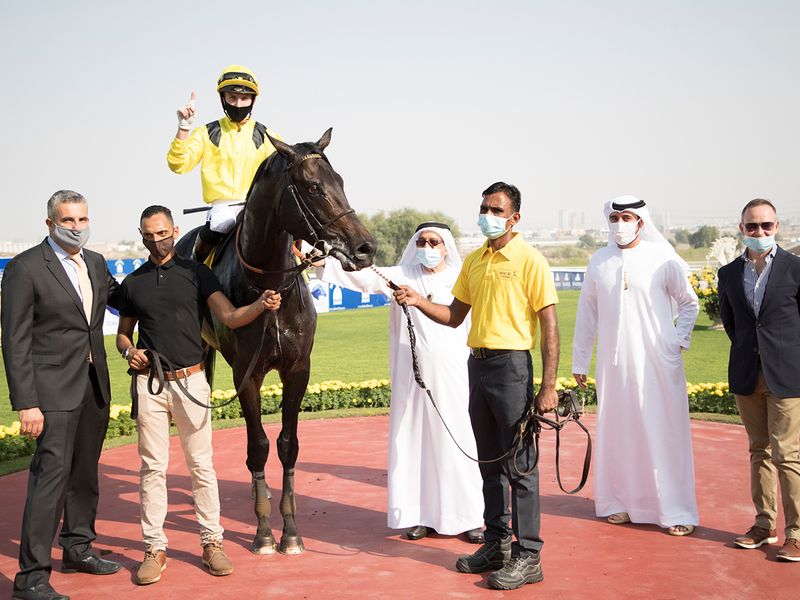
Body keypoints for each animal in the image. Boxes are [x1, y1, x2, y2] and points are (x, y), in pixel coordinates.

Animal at [175, 129, 376, 556]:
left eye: (340, 182)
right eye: (314, 186)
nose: (366, 247)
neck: (269, 285)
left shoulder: (298, 369)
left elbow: (287, 445)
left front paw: (291, 531)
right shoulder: (245, 375)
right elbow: (258, 447)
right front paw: (264, 531)